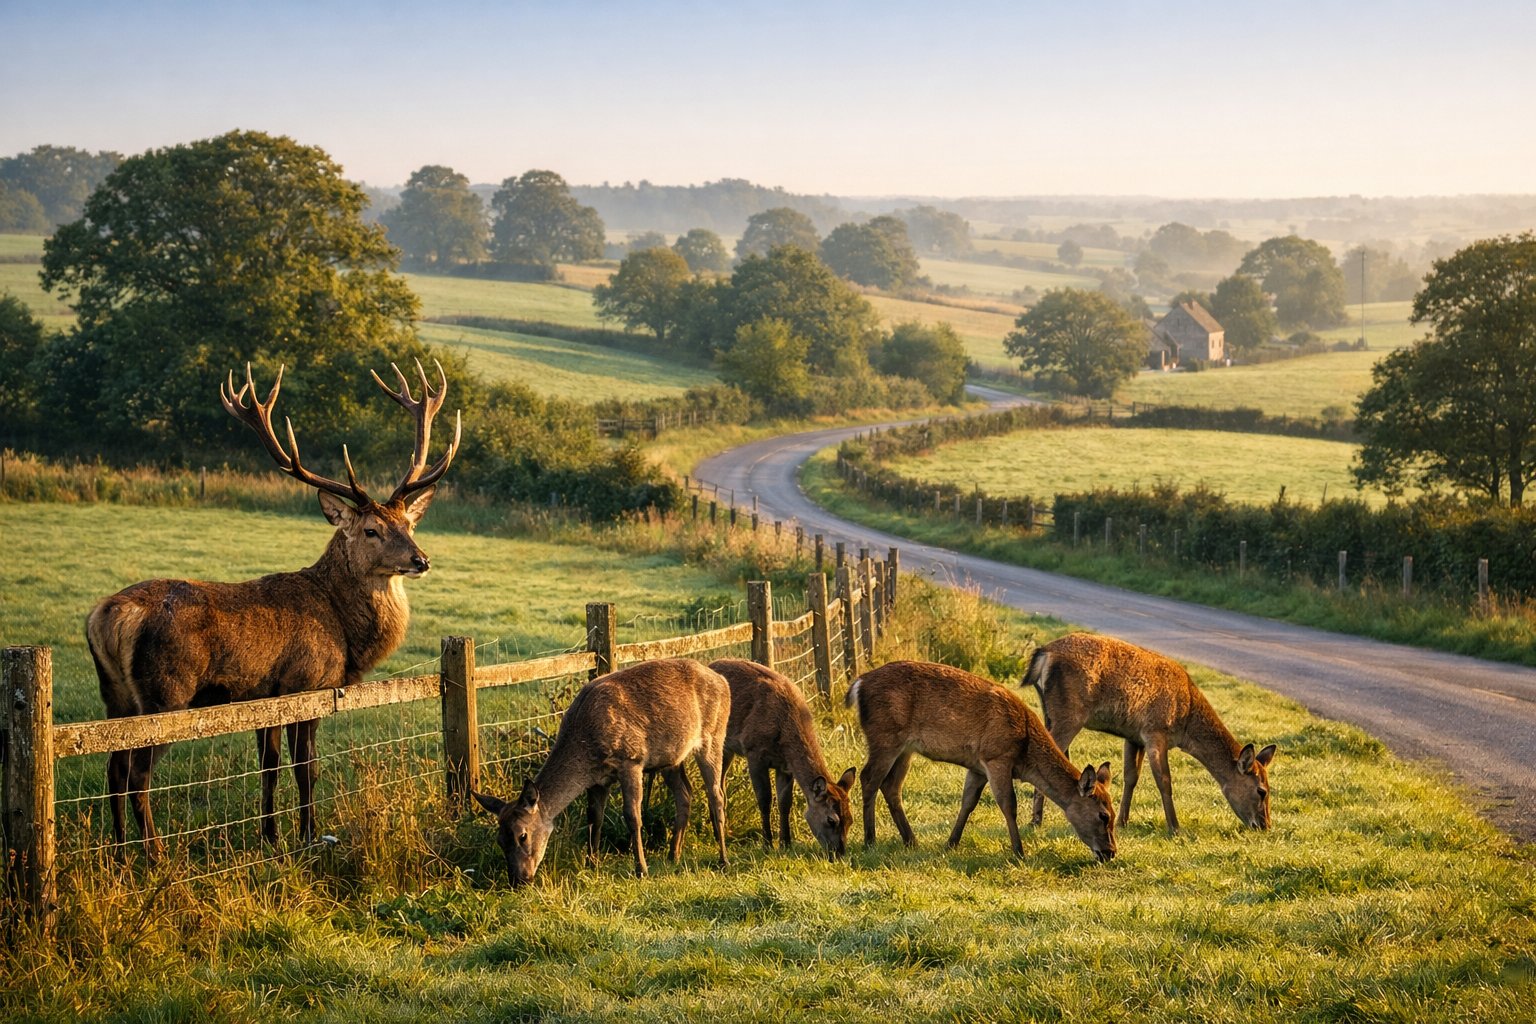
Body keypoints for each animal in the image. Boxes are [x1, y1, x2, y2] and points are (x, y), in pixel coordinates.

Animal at [86, 360, 460, 860]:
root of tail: (109, 615)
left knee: (113, 766)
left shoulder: (265, 695)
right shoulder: (307, 683)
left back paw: (120, 852)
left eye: (408, 523)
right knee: (137, 772)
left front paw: (271, 837)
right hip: (165, 692)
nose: (421, 560)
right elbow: (307, 769)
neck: (345, 632)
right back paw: (153, 854)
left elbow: (270, 767)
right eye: (371, 530)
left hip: (116, 695)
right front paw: (308, 836)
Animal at [471, 658, 730, 886]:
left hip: (713, 737)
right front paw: (591, 864)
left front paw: (641, 869)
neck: (586, 746)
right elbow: (594, 817)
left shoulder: (631, 760)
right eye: (499, 840)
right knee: (685, 793)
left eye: (522, 835)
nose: (518, 880)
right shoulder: (598, 779)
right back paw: (673, 855)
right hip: (671, 758)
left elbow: (632, 816)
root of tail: (723, 681)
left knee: (716, 795)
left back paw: (723, 859)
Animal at [708, 658, 857, 859]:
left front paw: (786, 843)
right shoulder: (754, 752)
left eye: (850, 819)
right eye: (831, 820)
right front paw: (767, 844)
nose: (839, 853)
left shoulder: (785, 767)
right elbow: (764, 799)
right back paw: (718, 834)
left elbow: (785, 802)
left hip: (727, 749)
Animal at [846, 660, 1116, 863]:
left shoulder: (977, 766)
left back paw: (911, 841)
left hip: (906, 748)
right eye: (1103, 816)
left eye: (1114, 814)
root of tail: (857, 685)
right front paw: (1019, 852)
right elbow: (1008, 804)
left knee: (891, 785)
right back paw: (870, 840)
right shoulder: (996, 756)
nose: (1111, 852)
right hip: (884, 735)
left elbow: (968, 802)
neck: (1025, 752)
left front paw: (951, 843)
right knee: (869, 778)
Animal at [1025, 632, 1278, 834]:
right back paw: (1035, 821)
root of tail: (1043, 654)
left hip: (1048, 711)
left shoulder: (1133, 736)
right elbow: (1164, 780)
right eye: (1262, 790)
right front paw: (1175, 828)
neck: (1186, 724)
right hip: (1069, 713)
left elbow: (1130, 777)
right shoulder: (1155, 731)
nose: (1265, 826)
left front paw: (1122, 822)